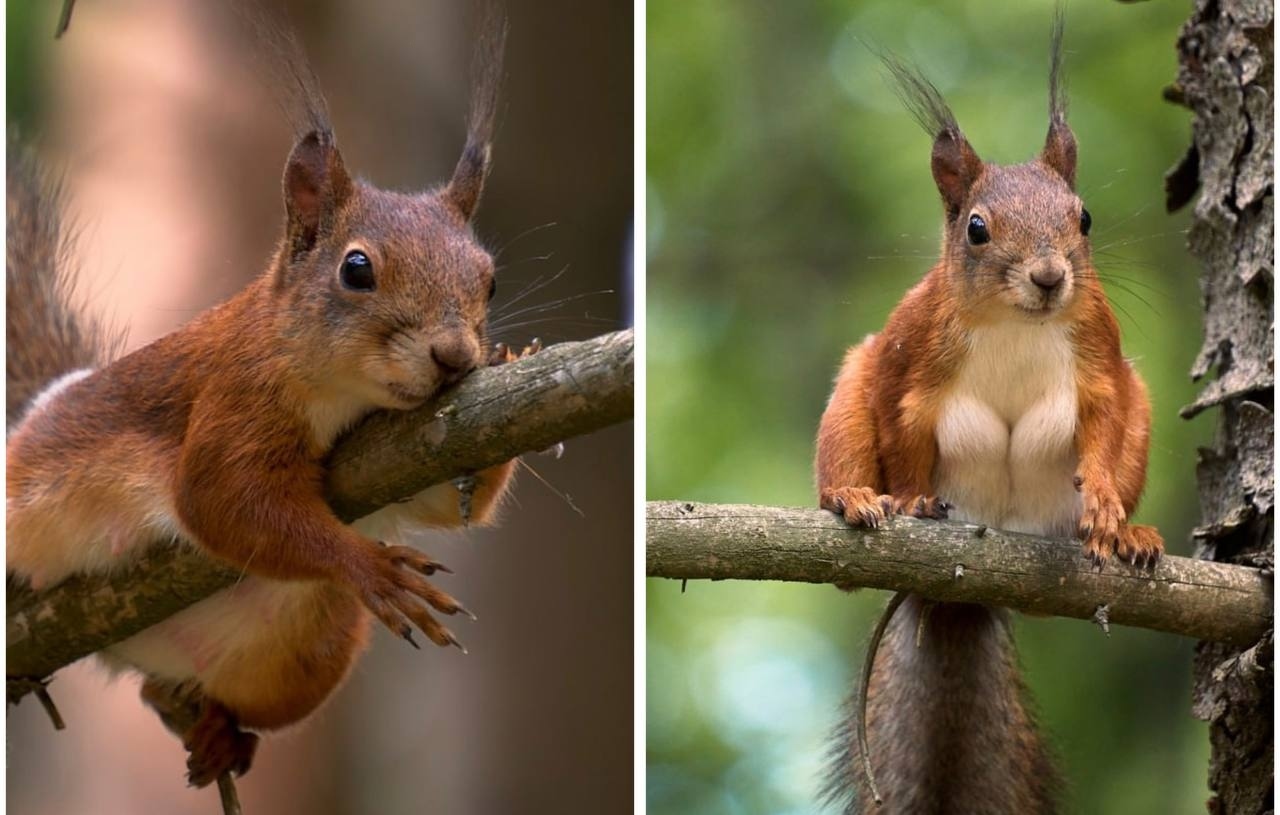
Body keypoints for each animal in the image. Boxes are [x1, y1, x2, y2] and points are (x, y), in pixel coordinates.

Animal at [7, 6, 528, 791]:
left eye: (488, 279)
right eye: (356, 269)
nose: (455, 357)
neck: (341, 392)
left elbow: (445, 504)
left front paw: (512, 363)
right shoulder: (235, 397)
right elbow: (220, 501)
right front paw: (369, 563)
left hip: (311, 648)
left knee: (189, 697)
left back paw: (219, 732)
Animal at [815, 13, 1163, 815]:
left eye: (1083, 218)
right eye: (976, 228)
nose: (1049, 276)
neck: (1015, 323)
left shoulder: (1102, 360)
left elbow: (1104, 427)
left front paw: (1107, 508)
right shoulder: (906, 364)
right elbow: (903, 430)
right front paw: (911, 498)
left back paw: (1131, 537)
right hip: (848, 403)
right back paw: (853, 498)